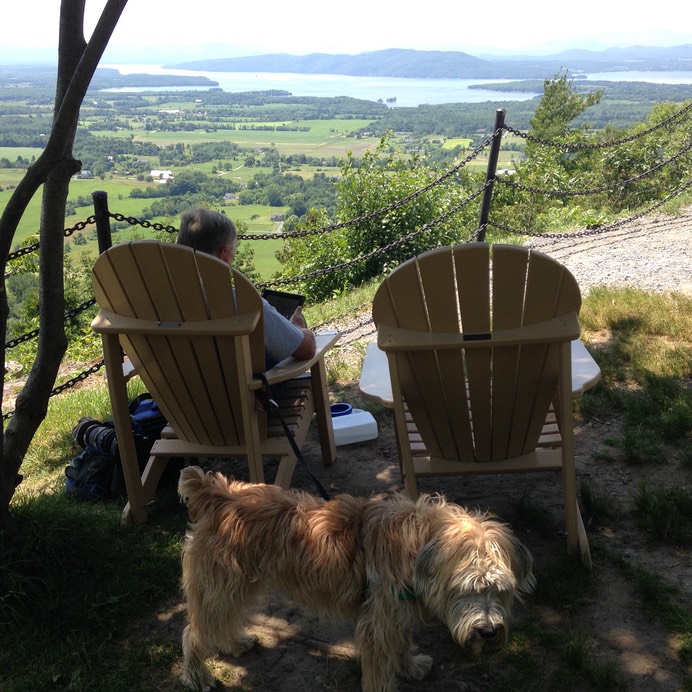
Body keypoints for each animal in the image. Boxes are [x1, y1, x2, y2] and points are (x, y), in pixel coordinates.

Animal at [178, 464, 536, 692]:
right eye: (465, 588)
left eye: (500, 589)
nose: (488, 632)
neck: (418, 544)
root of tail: (215, 493)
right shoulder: (378, 624)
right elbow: (379, 668)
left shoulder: (396, 614)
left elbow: (401, 643)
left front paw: (410, 666)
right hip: (220, 586)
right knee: (194, 634)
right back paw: (198, 676)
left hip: (237, 585)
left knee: (222, 620)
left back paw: (233, 643)